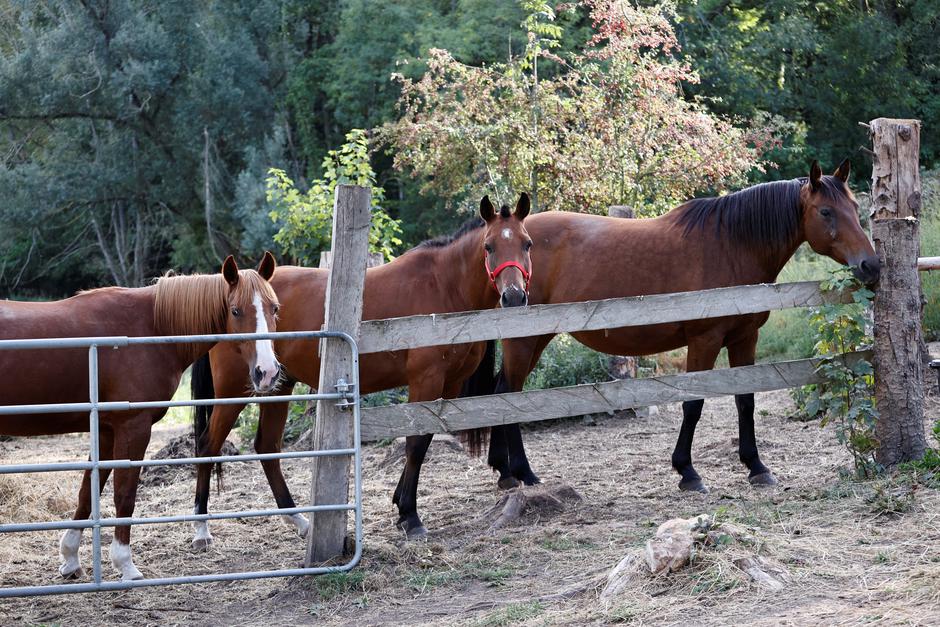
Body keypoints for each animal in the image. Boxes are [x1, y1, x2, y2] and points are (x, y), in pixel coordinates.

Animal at [0, 253, 280, 581]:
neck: (151, 327)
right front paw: (126, 564)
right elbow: (125, 495)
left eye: (275, 308)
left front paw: (70, 558)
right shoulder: (133, 427)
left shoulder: (106, 429)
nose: (267, 372)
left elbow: (88, 491)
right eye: (235, 310)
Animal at [190, 194, 533, 543]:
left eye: (527, 243)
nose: (514, 296)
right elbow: (415, 444)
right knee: (207, 445)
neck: (443, 287)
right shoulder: (425, 381)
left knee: (267, 447)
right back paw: (202, 527)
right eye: (489, 246)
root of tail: (226, 292)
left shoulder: (447, 387)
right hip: (233, 391)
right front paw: (410, 515)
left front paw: (400, 505)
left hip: (278, 384)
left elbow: (423, 439)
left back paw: (299, 520)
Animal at [475, 160, 881, 494]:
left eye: (855, 208)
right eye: (826, 211)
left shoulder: (745, 338)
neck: (732, 244)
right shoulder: (705, 341)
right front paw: (687, 472)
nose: (871, 265)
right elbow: (693, 403)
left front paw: (756, 466)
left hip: (535, 339)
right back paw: (523, 473)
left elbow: (745, 400)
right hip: (525, 340)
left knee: (500, 392)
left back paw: (505, 472)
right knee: (509, 394)